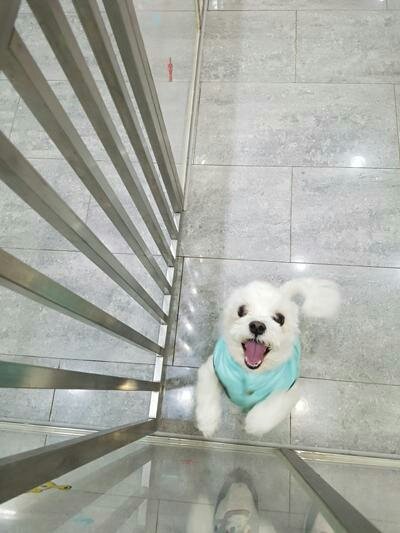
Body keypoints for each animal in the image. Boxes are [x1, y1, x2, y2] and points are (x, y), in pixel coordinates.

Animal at [195, 278, 340, 438]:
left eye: (280, 318)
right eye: (241, 310)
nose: (257, 326)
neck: (250, 372)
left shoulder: (288, 389)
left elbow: (267, 412)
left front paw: (252, 423)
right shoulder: (211, 368)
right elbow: (207, 392)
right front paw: (208, 422)